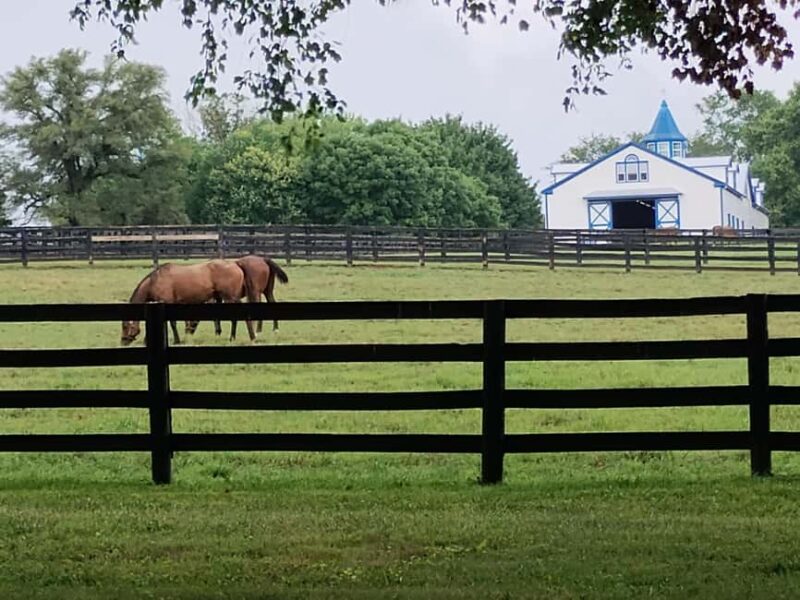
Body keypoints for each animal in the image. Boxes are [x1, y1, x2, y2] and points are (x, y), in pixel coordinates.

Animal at [121, 259, 257, 346]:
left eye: (125, 326)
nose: (123, 341)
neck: (155, 281)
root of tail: (235, 263)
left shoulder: (167, 302)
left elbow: (172, 324)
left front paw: (177, 340)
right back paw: (231, 337)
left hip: (231, 297)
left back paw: (251, 337)